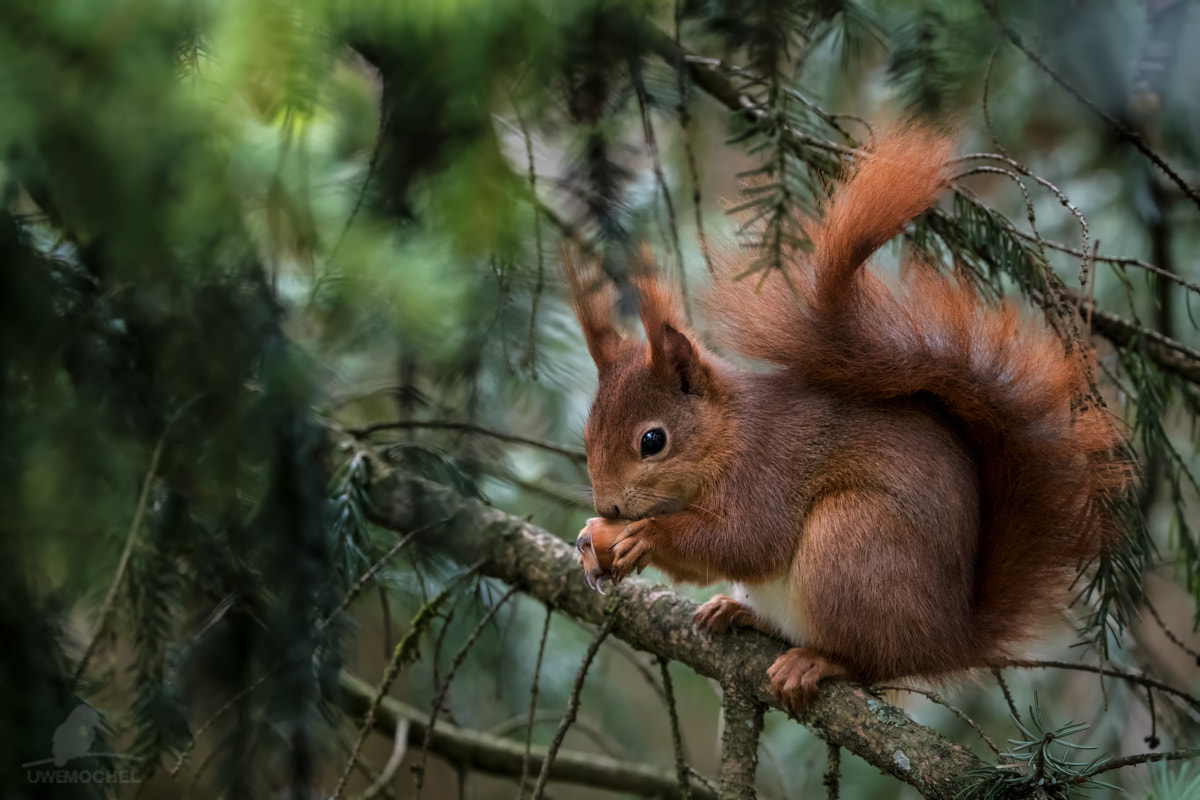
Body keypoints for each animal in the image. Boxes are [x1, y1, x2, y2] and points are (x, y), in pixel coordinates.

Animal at [568, 126, 1132, 714]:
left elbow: (749, 541)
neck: (728, 434)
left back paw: (819, 660)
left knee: (872, 661)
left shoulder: (766, 471)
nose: (607, 507)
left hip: (853, 540)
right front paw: (591, 538)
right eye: (586, 436)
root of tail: (946, 638)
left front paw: (645, 536)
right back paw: (735, 610)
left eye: (653, 440)